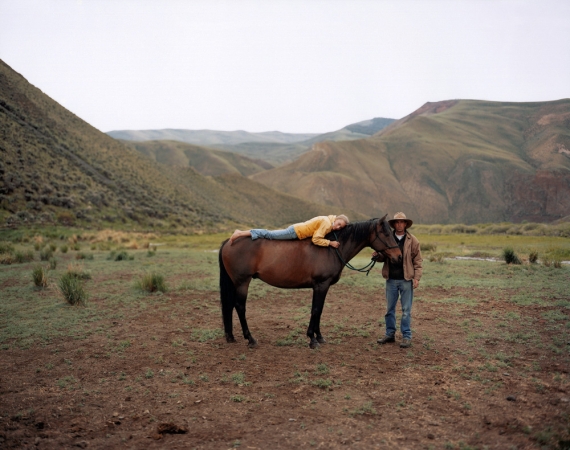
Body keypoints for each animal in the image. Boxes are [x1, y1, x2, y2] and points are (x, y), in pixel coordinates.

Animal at [217, 216, 400, 350]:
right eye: (386, 234)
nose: (398, 256)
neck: (332, 250)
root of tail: (228, 241)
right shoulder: (321, 285)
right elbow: (316, 310)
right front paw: (312, 339)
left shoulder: (322, 287)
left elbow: (319, 310)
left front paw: (319, 337)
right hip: (242, 282)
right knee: (240, 307)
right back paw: (250, 339)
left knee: (229, 306)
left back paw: (231, 337)